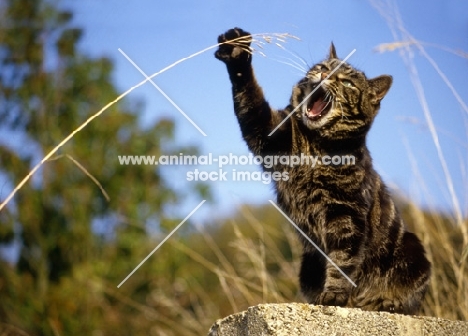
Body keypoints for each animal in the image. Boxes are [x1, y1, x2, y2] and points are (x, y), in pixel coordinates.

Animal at [216, 26, 432, 316]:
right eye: (323, 67)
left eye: (348, 83)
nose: (324, 75)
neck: (315, 144)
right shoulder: (268, 133)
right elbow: (250, 97)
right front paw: (237, 50)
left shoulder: (346, 212)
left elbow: (342, 260)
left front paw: (334, 295)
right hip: (307, 267)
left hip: (415, 254)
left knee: (409, 301)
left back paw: (385, 303)